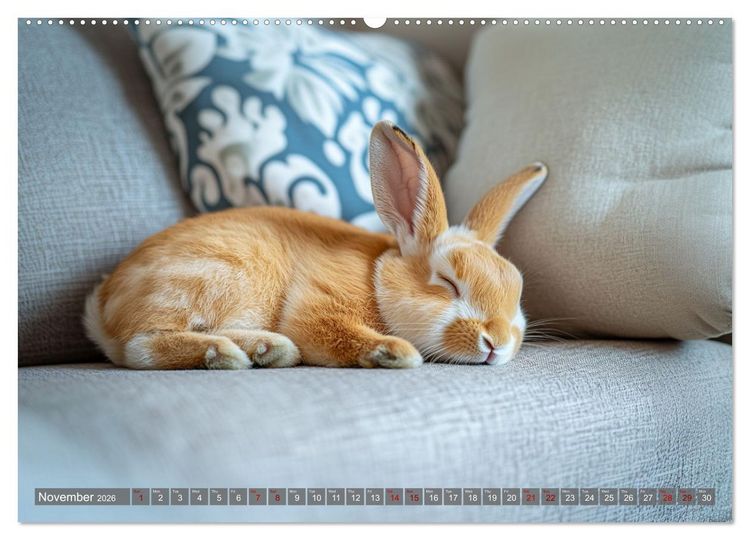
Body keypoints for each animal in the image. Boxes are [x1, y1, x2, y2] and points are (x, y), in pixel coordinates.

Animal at [84, 121, 547, 370]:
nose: (497, 342)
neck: (375, 279)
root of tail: (101, 308)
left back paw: (267, 350)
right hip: (214, 276)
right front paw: (395, 352)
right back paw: (225, 354)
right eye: (448, 283)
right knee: (139, 347)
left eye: (518, 292)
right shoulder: (318, 304)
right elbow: (333, 332)